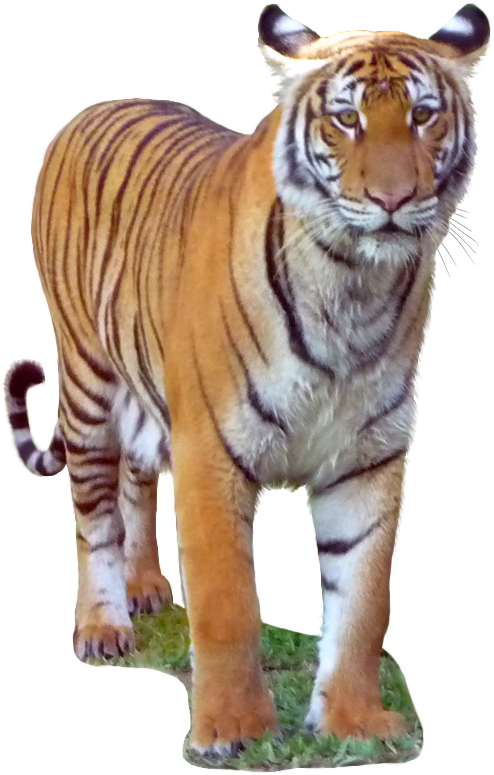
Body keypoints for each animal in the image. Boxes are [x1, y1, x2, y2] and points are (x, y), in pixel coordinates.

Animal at [3, 1, 489, 758]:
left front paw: (353, 721)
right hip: (87, 378)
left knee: (133, 478)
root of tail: (94, 106)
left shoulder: (369, 458)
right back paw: (104, 625)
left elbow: (363, 604)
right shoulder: (212, 450)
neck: (354, 287)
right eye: (346, 119)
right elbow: (228, 604)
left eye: (423, 116)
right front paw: (232, 730)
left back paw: (146, 587)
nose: (392, 198)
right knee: (93, 511)